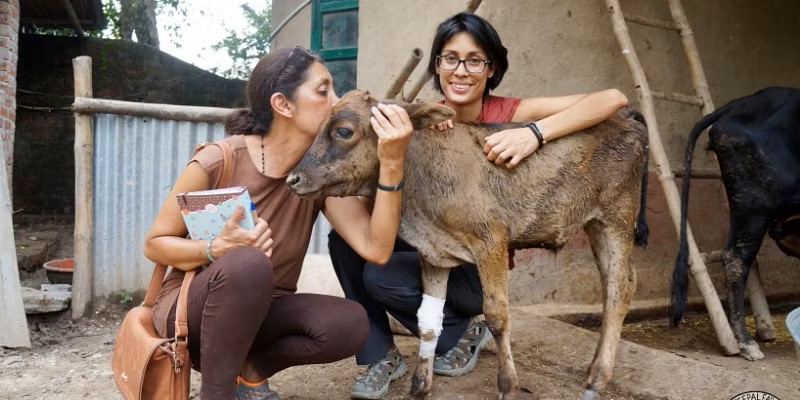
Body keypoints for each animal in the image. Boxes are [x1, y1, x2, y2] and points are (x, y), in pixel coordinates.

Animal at [288, 90, 648, 400]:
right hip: (595, 225)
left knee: (620, 288)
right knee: (614, 284)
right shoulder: (433, 253)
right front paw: (420, 386)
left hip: (616, 217)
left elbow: (497, 315)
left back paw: (596, 380)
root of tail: (626, 119)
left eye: (343, 131)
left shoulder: (491, 239)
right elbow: (428, 321)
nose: (293, 179)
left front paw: (507, 386)